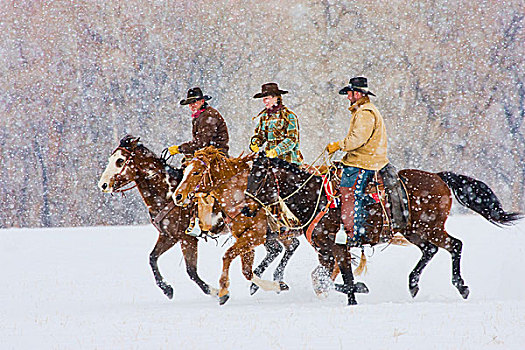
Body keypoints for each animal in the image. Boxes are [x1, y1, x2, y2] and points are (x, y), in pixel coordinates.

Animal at [98, 135, 221, 300]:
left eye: (120, 161)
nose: (103, 184)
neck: (168, 194)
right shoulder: (169, 236)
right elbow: (152, 258)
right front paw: (167, 289)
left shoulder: (187, 238)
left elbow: (191, 271)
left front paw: (217, 292)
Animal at [174, 145, 292, 304]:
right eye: (185, 171)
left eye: (196, 172)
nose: (177, 196)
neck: (240, 198)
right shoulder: (244, 238)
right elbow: (247, 271)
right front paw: (277, 286)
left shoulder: (255, 235)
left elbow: (227, 255)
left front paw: (223, 290)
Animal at [243, 153, 520, 304]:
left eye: (259, 176)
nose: (246, 208)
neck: (317, 198)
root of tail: (438, 177)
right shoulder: (326, 250)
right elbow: (321, 280)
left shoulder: (337, 247)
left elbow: (340, 278)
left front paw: (357, 293)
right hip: (413, 231)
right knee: (430, 250)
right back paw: (413, 284)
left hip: (431, 227)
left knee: (455, 245)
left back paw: (461, 286)